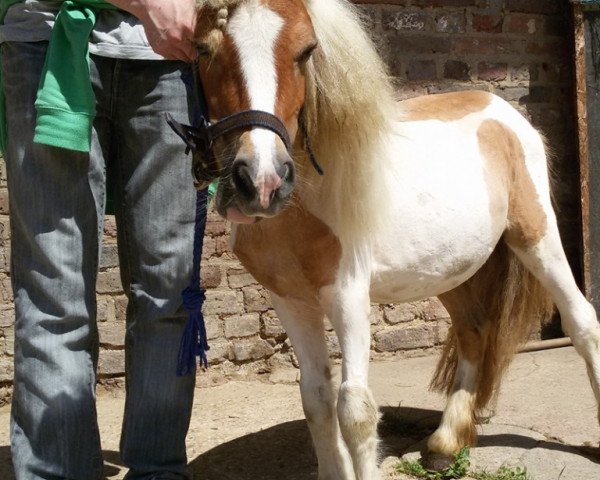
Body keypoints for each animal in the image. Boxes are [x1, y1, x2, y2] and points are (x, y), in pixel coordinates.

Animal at [189, 0, 600, 480]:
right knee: (474, 330)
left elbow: (355, 410)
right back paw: (444, 444)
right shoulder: (290, 300)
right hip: (451, 270)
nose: (262, 181)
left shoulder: (348, 293)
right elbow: (315, 399)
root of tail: (502, 109)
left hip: (537, 238)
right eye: (203, 49)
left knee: (581, 322)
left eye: (306, 50)